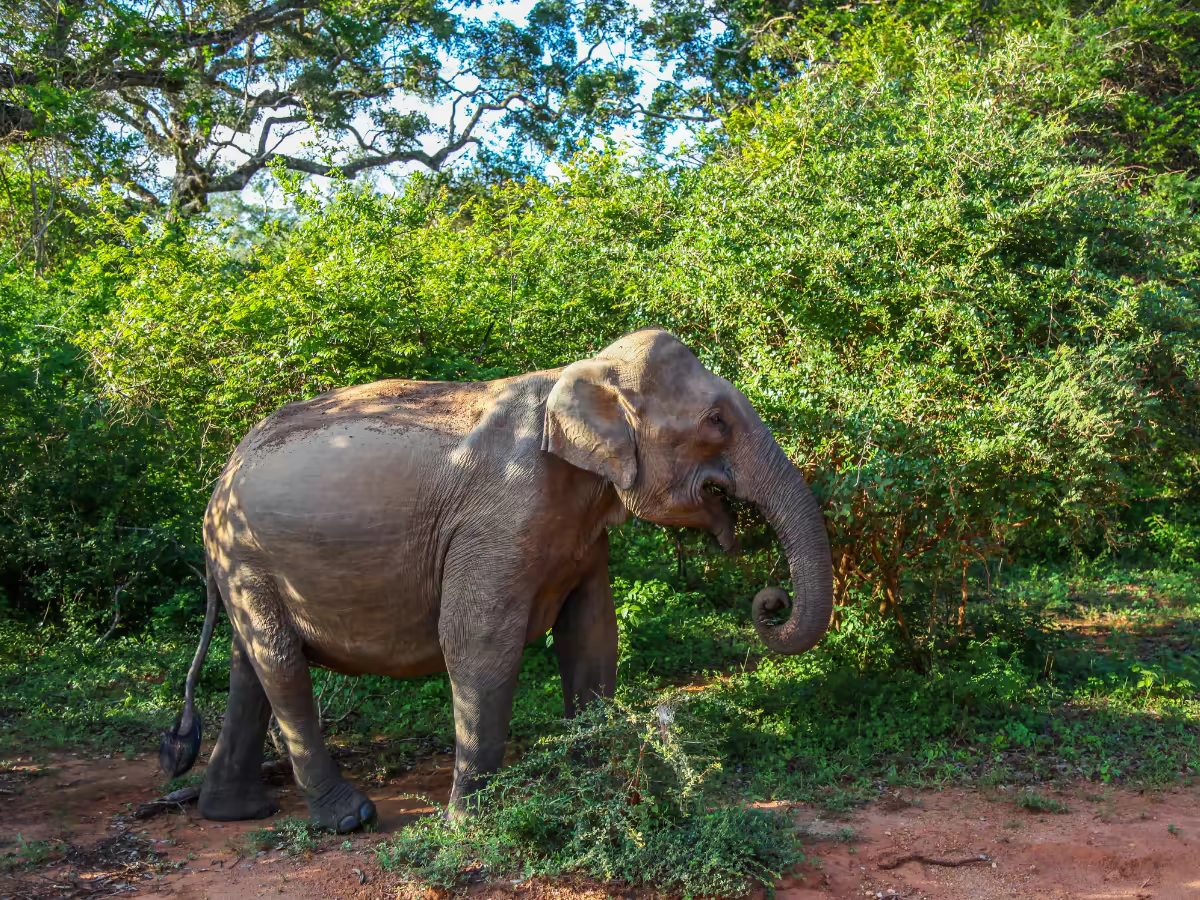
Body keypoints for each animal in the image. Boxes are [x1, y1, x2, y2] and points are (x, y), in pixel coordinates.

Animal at [159, 327, 833, 832]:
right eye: (716, 421)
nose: (769, 601)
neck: (578, 376)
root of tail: (223, 474)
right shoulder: (499, 518)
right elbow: (479, 640)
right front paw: (471, 826)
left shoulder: (582, 533)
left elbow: (592, 636)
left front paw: (593, 790)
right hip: (245, 555)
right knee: (281, 666)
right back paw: (350, 819)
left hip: (244, 563)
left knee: (251, 666)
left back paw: (234, 812)